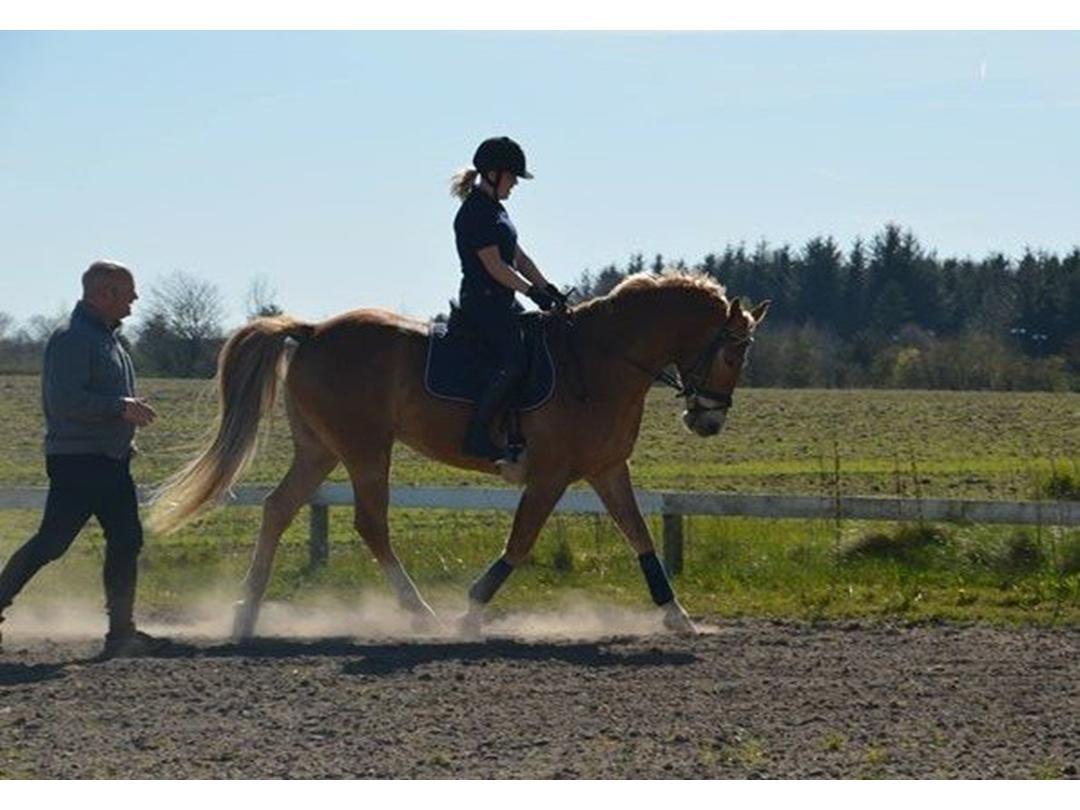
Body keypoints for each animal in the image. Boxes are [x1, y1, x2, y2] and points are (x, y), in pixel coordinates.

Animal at [147, 273, 768, 639]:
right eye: (732, 354)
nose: (708, 421)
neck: (604, 360)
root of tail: (315, 329)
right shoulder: (550, 475)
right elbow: (519, 543)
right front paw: (471, 612)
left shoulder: (608, 469)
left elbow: (639, 536)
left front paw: (677, 616)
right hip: (364, 447)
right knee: (371, 523)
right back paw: (419, 613)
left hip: (321, 449)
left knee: (278, 509)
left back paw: (246, 612)